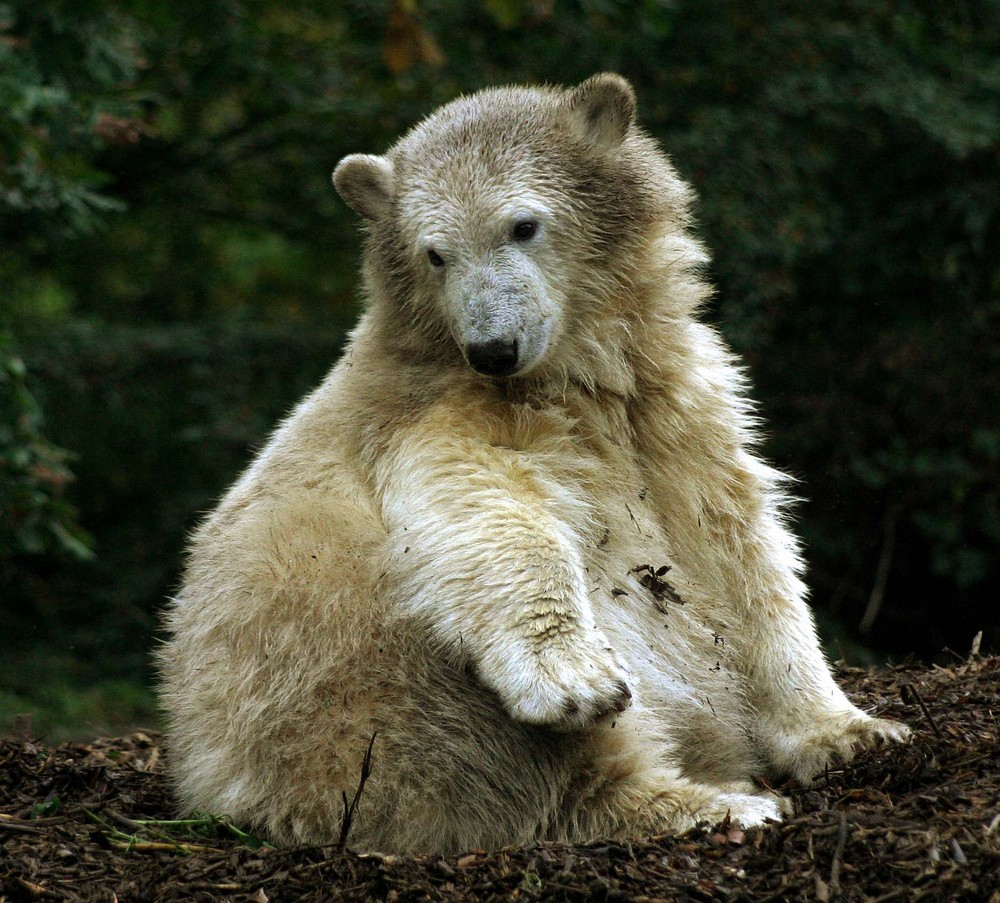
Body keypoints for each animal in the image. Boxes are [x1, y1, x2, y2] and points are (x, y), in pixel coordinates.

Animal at [158, 72, 916, 856]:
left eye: (522, 225)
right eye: (434, 253)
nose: (493, 347)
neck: (578, 377)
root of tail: (216, 784)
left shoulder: (673, 408)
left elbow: (740, 552)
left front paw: (852, 731)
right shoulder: (433, 415)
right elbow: (480, 506)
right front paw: (574, 678)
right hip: (347, 681)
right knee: (502, 757)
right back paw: (716, 803)